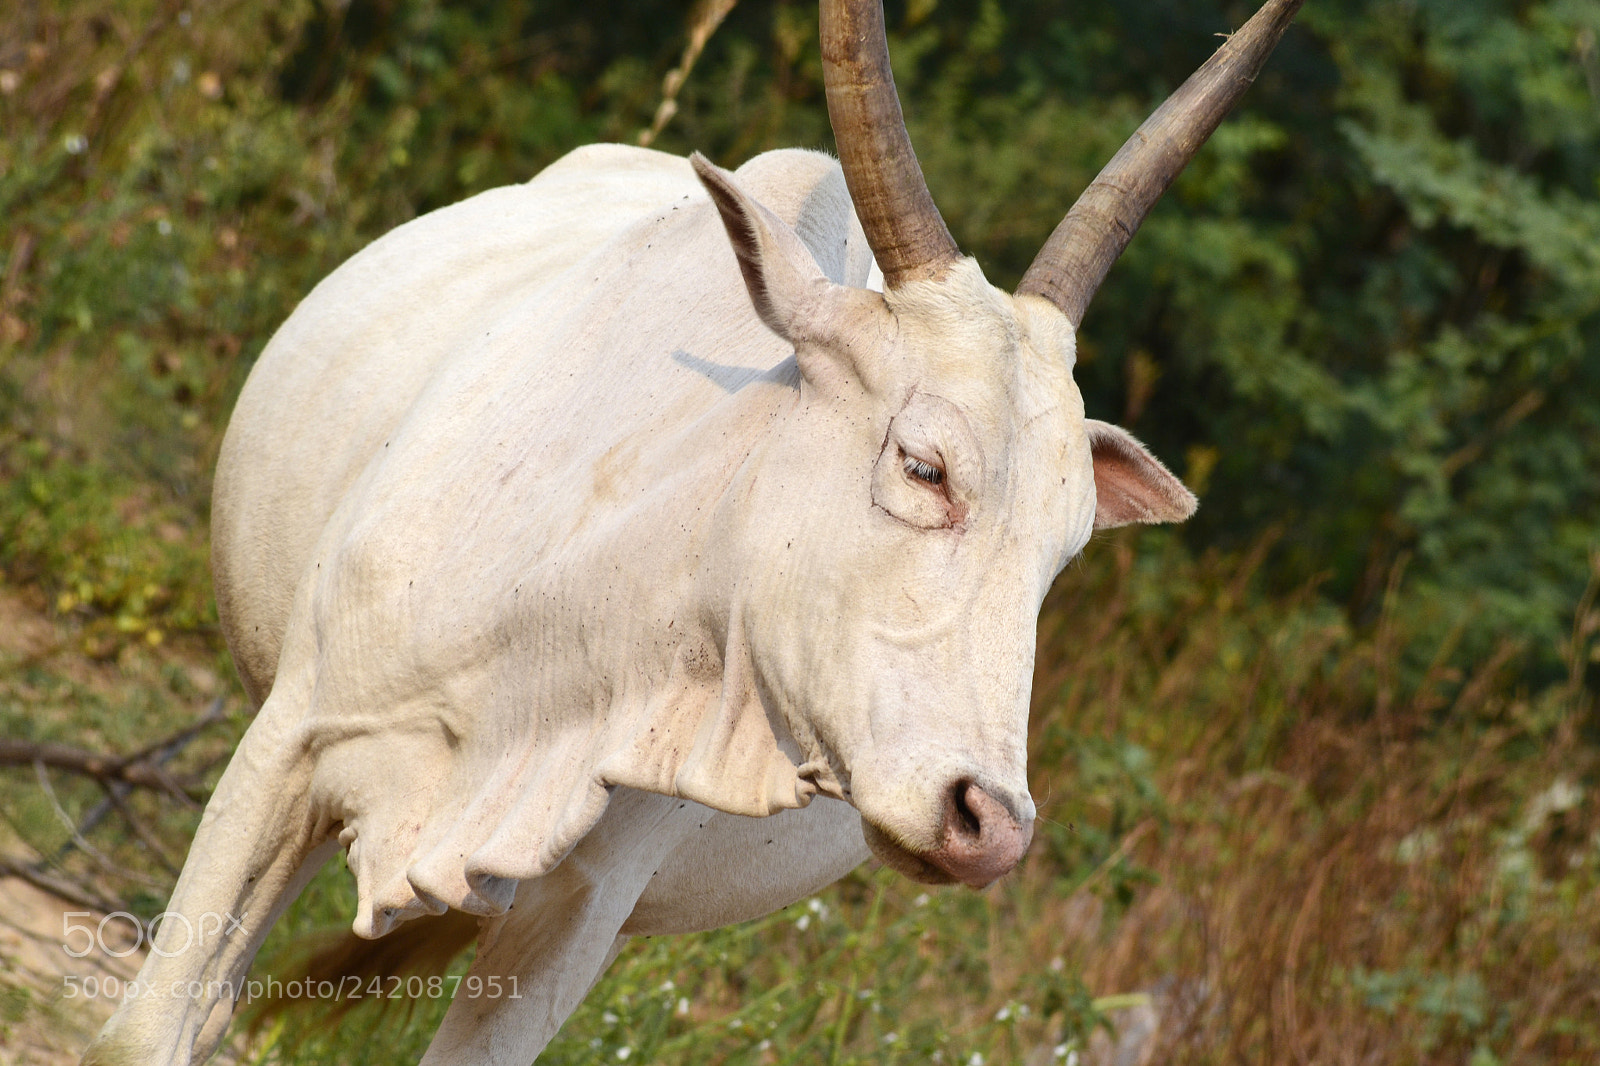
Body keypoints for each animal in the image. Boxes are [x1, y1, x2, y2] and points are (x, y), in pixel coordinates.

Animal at [84, 0, 1303, 1062]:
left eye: (1067, 549)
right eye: (923, 465)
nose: (986, 824)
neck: (563, 626)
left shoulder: (578, 915)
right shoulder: (282, 751)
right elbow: (155, 1026)